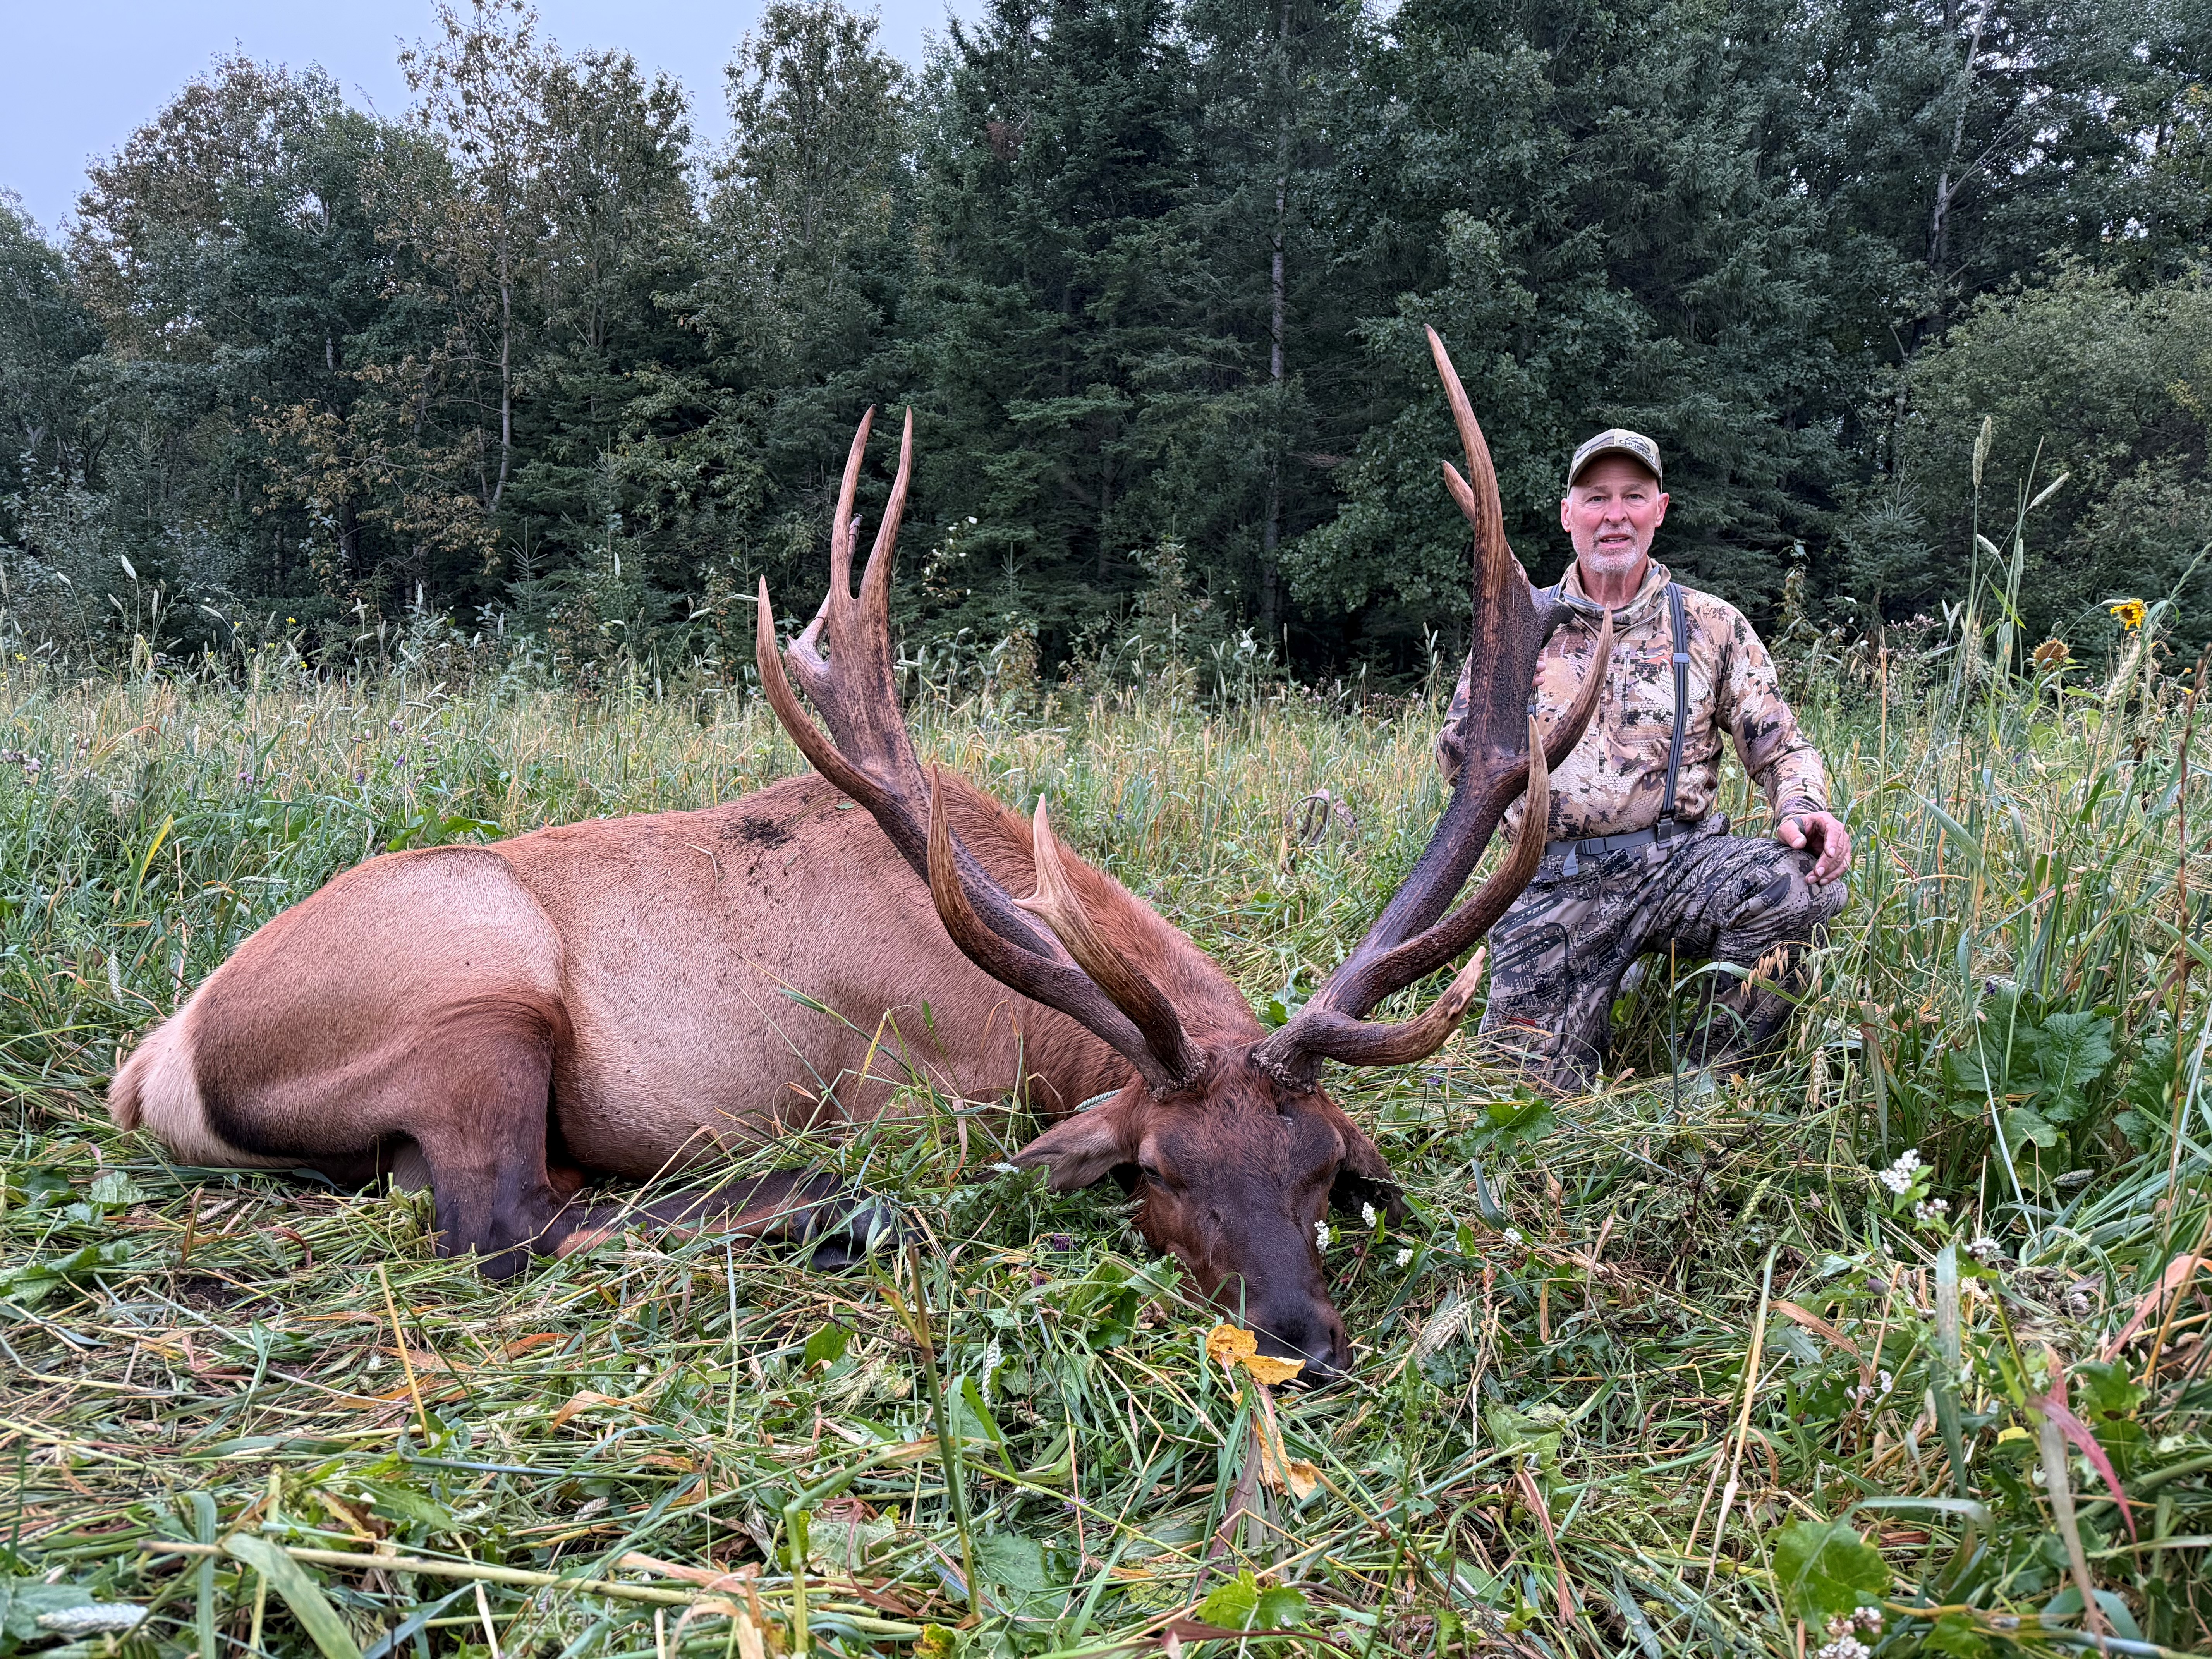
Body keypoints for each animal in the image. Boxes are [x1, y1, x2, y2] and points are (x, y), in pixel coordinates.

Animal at [108, 331, 1609, 1378]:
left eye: (1314, 1171)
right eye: (1155, 1174)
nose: (1297, 1342)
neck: (1027, 1031)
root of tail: (156, 1062)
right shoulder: (901, 1095)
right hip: (474, 991)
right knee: (499, 1222)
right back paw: (821, 1207)